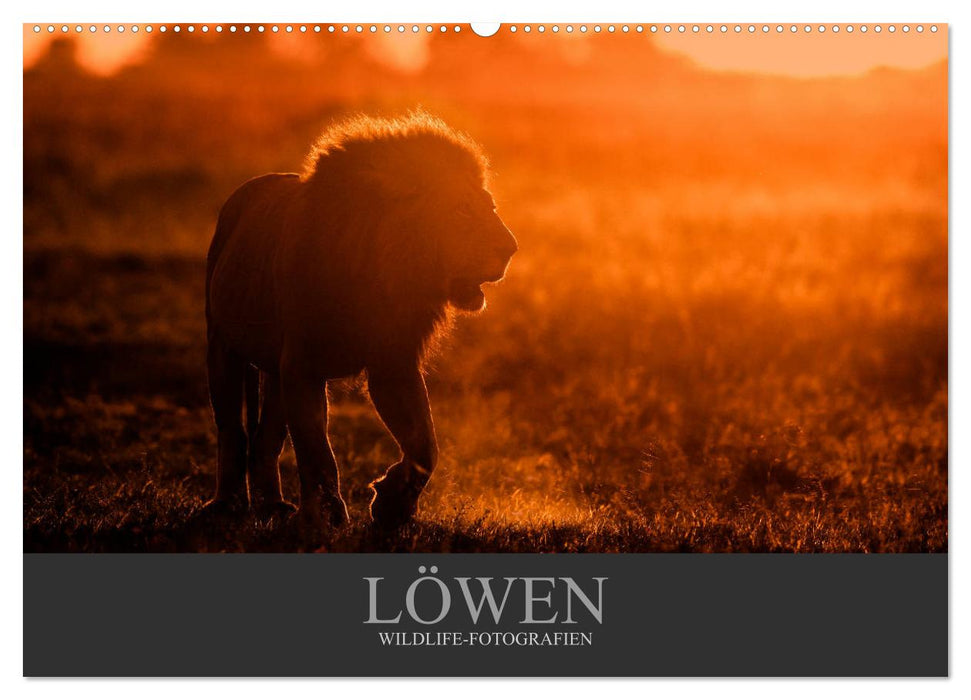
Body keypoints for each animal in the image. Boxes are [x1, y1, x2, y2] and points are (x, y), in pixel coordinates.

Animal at [204, 112, 517, 533]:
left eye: (490, 206)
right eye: (462, 210)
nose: (511, 248)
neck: (382, 273)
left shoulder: (393, 363)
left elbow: (425, 444)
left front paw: (392, 504)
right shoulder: (302, 364)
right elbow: (317, 449)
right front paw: (327, 516)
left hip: (272, 371)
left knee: (266, 439)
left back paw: (273, 506)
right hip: (222, 345)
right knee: (232, 430)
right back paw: (228, 504)